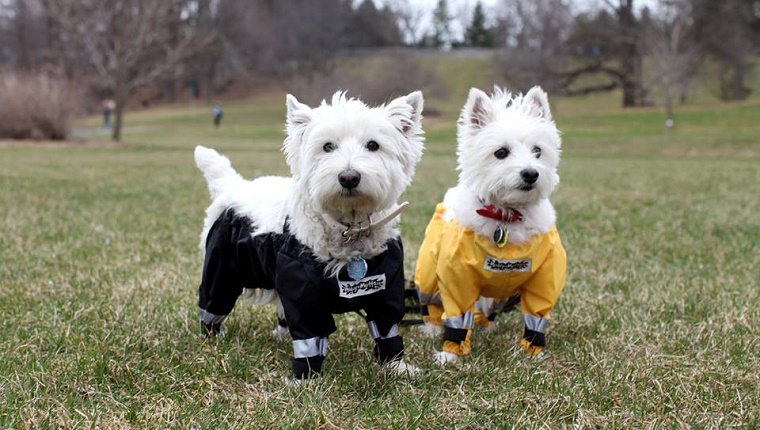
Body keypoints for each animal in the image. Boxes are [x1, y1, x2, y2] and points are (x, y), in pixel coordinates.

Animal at [194, 90, 428, 380]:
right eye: (327, 146)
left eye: (373, 145)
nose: (348, 177)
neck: (348, 228)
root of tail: (232, 186)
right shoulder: (303, 296)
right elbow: (310, 337)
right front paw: (305, 379)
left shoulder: (386, 288)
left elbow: (387, 329)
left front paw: (397, 367)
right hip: (221, 271)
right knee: (212, 304)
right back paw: (211, 338)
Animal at [412, 85, 568, 364]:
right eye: (501, 152)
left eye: (537, 151)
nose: (531, 173)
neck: (506, 217)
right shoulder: (456, 277)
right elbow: (456, 318)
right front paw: (450, 355)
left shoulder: (545, 279)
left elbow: (536, 318)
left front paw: (534, 353)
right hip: (428, 273)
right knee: (431, 306)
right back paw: (432, 329)